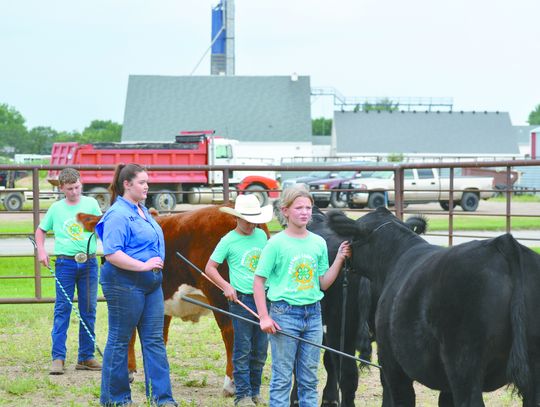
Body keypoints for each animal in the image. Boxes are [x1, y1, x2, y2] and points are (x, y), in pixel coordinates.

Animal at [79, 206, 270, 396]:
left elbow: (130, 334)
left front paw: (130, 371)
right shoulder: (161, 305)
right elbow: (159, 337)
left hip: (221, 295)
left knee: (232, 333)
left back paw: (230, 384)